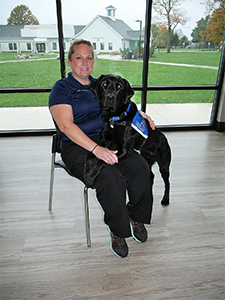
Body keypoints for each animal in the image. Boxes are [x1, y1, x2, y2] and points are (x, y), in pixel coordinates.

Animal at [83, 75, 171, 206]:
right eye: (104, 84)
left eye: (119, 87)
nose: (110, 97)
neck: (115, 118)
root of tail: (164, 138)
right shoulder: (103, 144)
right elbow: (90, 154)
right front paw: (86, 169)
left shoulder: (123, 151)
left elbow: (101, 161)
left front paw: (90, 177)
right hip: (147, 158)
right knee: (151, 175)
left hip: (164, 164)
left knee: (167, 182)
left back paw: (165, 199)